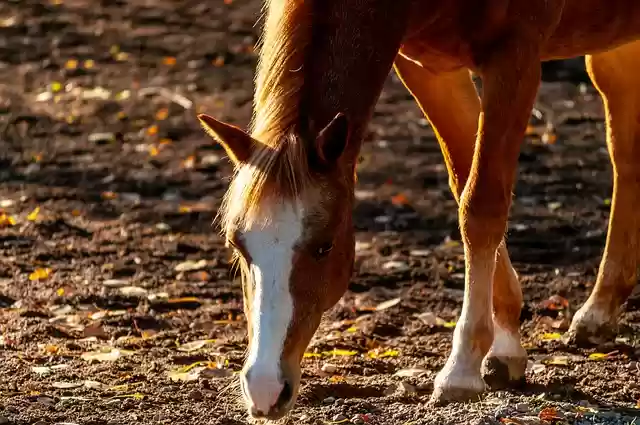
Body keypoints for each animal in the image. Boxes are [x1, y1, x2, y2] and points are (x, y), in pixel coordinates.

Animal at [198, 0, 640, 420]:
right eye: (239, 246)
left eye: (325, 246)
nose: (265, 388)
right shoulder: (428, 72)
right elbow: (464, 182)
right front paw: (505, 343)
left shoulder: (516, 56)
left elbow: (482, 206)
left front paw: (462, 369)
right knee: (626, 155)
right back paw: (600, 310)